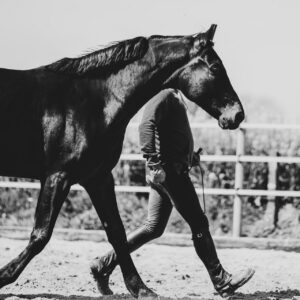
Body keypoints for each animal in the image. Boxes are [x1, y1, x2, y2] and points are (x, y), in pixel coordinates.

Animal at [0, 25, 244, 298]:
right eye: (216, 67)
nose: (237, 114)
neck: (94, 101)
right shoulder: (57, 176)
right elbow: (40, 235)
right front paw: (3, 277)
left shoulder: (98, 178)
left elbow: (116, 232)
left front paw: (140, 288)